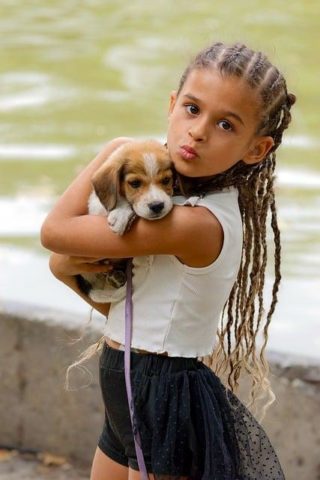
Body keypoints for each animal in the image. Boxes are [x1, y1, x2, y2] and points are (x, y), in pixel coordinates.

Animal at [76, 140, 174, 304]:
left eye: (166, 180)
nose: (157, 206)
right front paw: (120, 213)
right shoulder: (97, 208)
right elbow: (121, 201)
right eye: (134, 183)